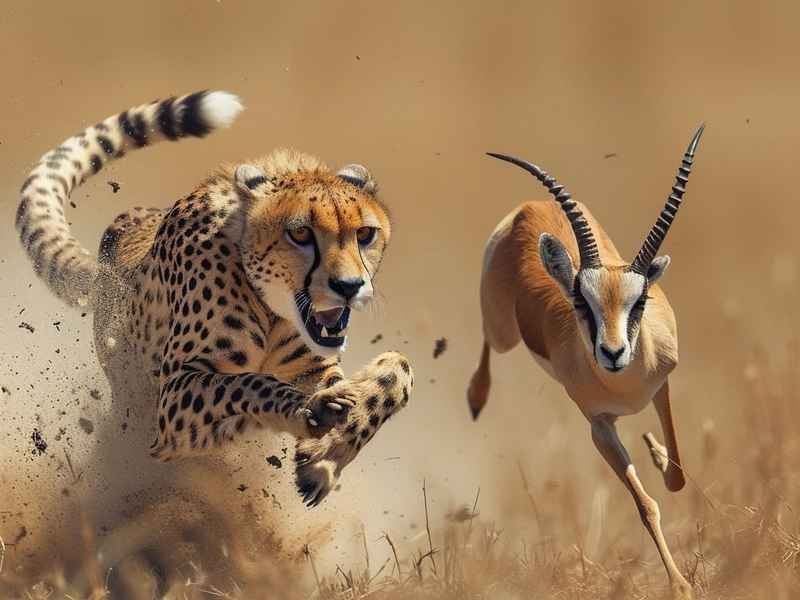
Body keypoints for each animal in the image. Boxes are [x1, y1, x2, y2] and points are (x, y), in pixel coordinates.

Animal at [467, 127, 704, 599]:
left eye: (639, 302)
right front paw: (680, 586)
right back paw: (476, 397)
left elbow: (677, 477)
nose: (612, 353)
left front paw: (655, 451)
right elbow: (646, 505)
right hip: (502, 333)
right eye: (582, 301)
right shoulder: (599, 426)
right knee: (487, 340)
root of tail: (530, 207)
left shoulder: (662, 388)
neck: (624, 385)